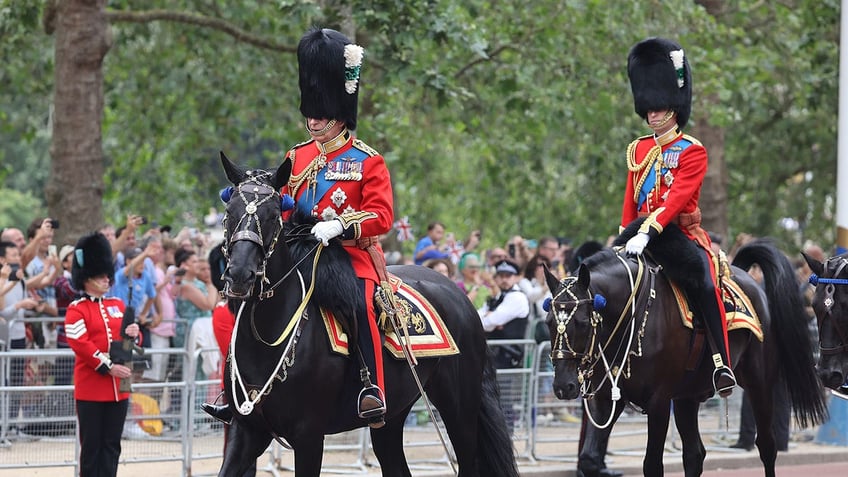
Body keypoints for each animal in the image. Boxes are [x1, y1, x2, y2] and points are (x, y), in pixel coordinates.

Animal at [214, 153, 516, 476]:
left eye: (272, 215)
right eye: (229, 211)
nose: (240, 275)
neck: (267, 336)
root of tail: (459, 295)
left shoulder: (309, 436)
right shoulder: (247, 431)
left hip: (460, 411)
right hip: (392, 416)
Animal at [544, 240, 828, 474]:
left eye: (582, 323)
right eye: (548, 322)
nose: (563, 386)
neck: (632, 317)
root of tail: (743, 277)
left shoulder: (658, 403)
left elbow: (652, 465)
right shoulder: (607, 399)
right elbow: (589, 459)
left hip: (759, 383)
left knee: (767, 446)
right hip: (686, 398)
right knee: (694, 455)